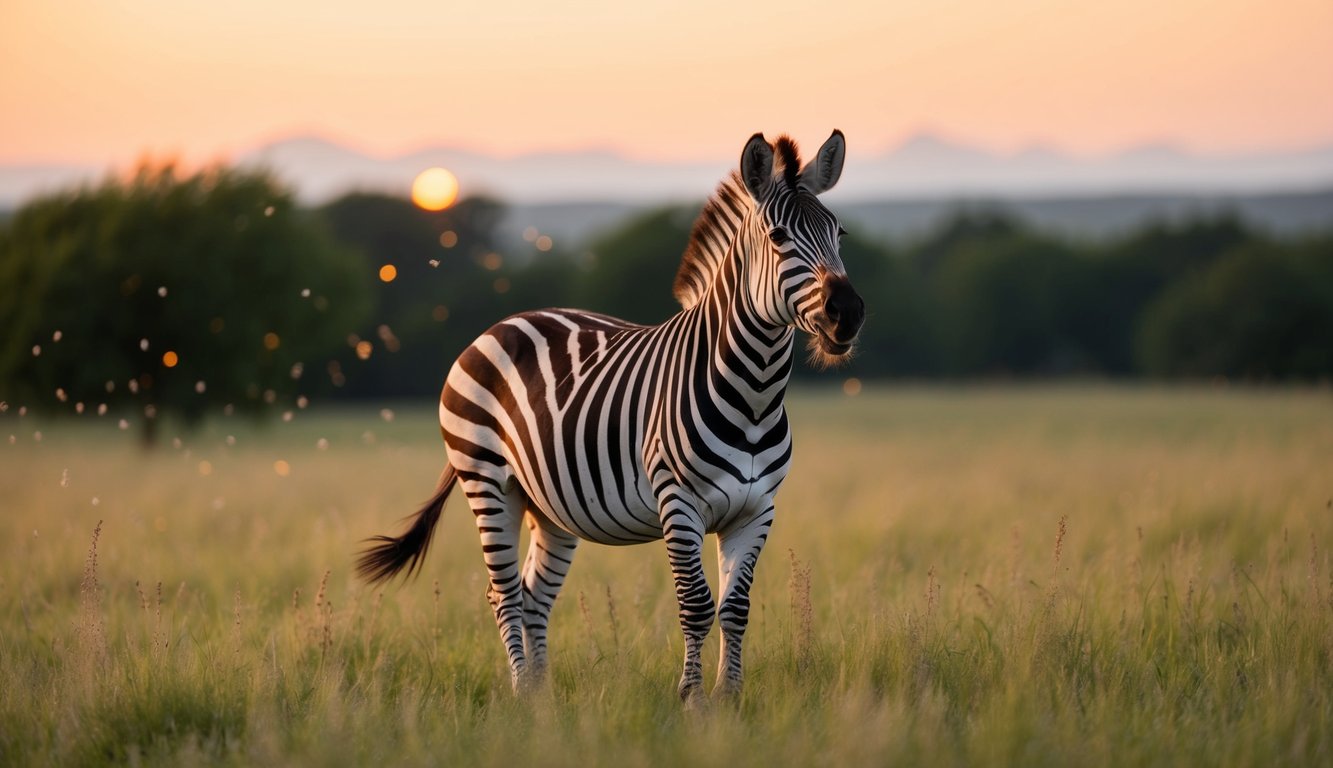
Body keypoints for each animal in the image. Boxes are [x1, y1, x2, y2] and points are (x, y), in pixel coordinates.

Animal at [359, 132, 869, 704]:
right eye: (778, 236)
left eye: (840, 233)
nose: (848, 313)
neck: (755, 397)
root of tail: (502, 324)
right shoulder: (678, 503)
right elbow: (696, 606)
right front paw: (693, 701)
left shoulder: (757, 510)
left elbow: (735, 609)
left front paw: (730, 698)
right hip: (487, 481)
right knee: (504, 594)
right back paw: (521, 692)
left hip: (550, 504)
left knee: (534, 595)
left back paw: (541, 701)